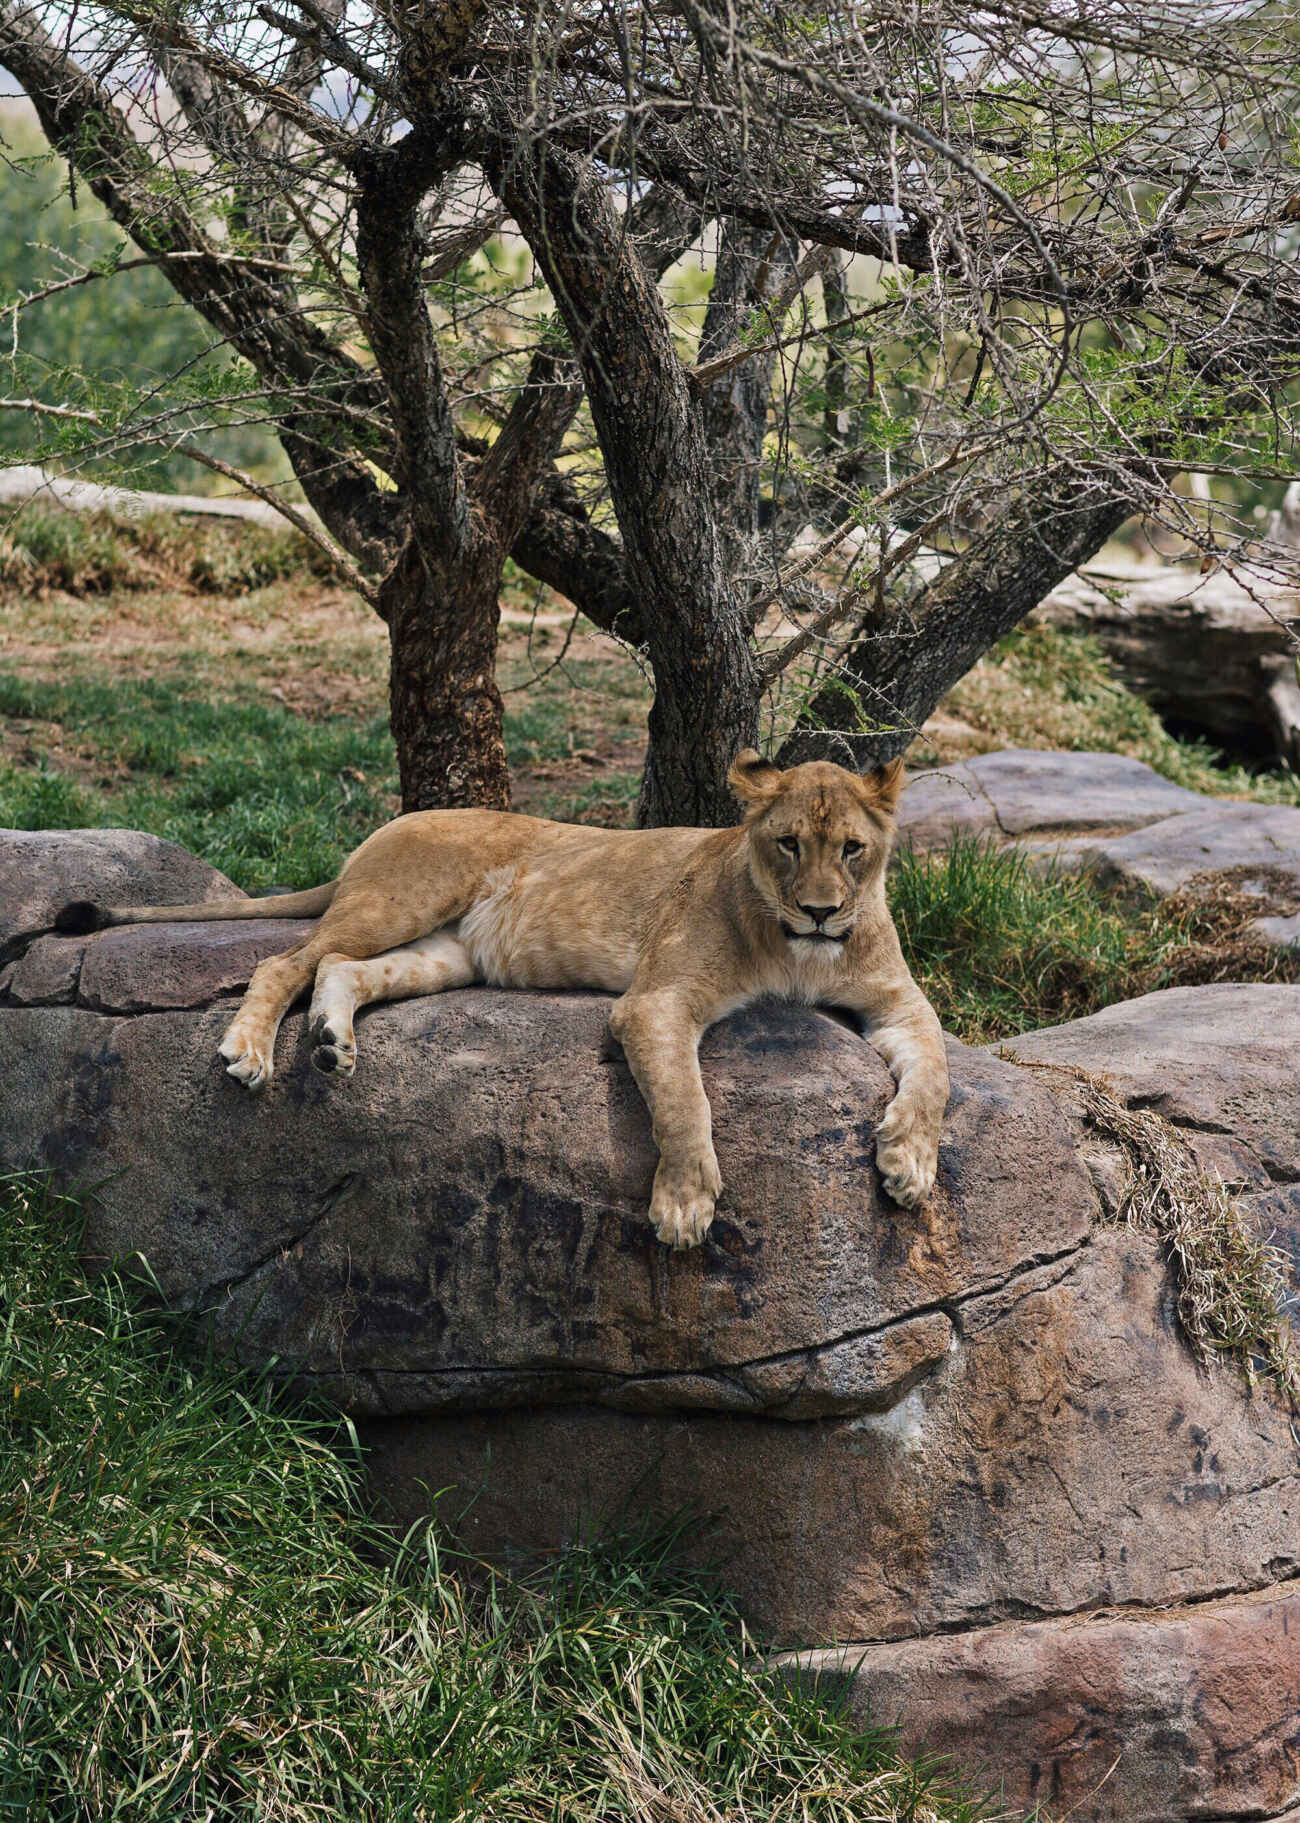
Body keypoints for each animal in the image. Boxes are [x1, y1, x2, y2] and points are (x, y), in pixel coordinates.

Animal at [58, 747, 940, 1246]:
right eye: (787, 843)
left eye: (852, 849)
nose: (821, 910)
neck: (805, 954)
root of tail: (376, 833)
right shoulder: (657, 998)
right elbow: (685, 1099)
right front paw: (686, 1204)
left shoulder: (900, 1001)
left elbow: (935, 1075)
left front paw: (908, 1163)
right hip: (401, 899)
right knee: (286, 961)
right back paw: (249, 1051)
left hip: (448, 951)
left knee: (342, 966)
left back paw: (333, 1045)